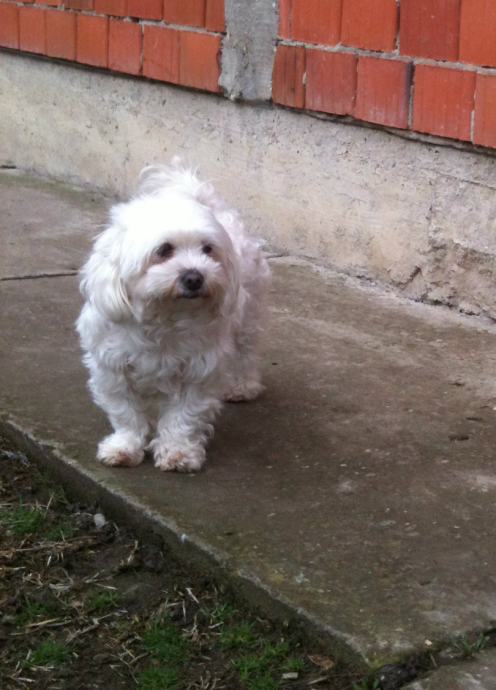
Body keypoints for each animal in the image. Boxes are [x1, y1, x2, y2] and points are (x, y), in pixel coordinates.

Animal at [76, 160, 270, 473]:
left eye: (208, 249)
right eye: (164, 250)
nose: (195, 277)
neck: (165, 317)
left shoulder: (199, 370)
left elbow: (184, 416)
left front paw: (178, 451)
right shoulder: (112, 368)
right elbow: (125, 412)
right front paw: (125, 446)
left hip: (248, 319)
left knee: (246, 353)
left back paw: (242, 385)